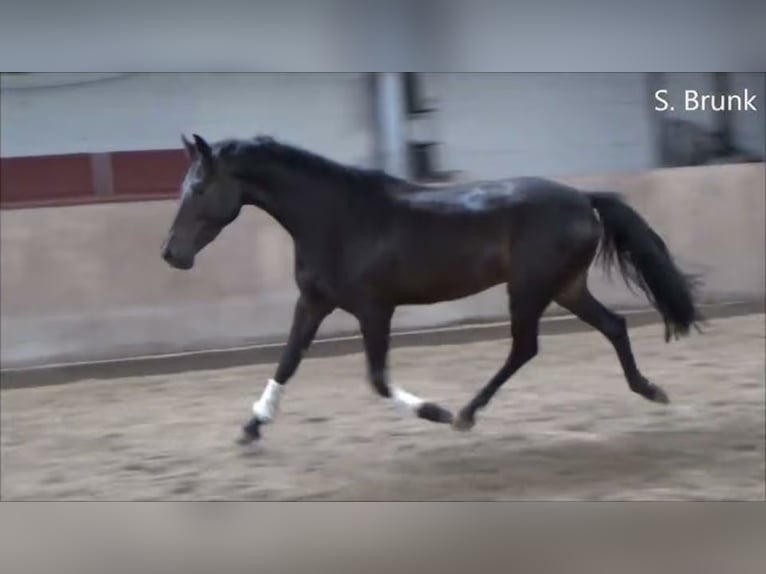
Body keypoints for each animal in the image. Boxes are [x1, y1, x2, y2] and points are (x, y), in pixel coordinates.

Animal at [162, 135, 704, 446]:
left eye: (198, 188)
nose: (171, 254)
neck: (337, 219)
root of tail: (583, 198)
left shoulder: (373, 309)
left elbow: (377, 379)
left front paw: (435, 412)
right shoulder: (314, 301)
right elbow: (288, 360)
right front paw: (252, 426)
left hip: (530, 289)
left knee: (525, 346)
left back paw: (464, 414)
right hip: (566, 287)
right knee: (613, 325)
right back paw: (650, 390)